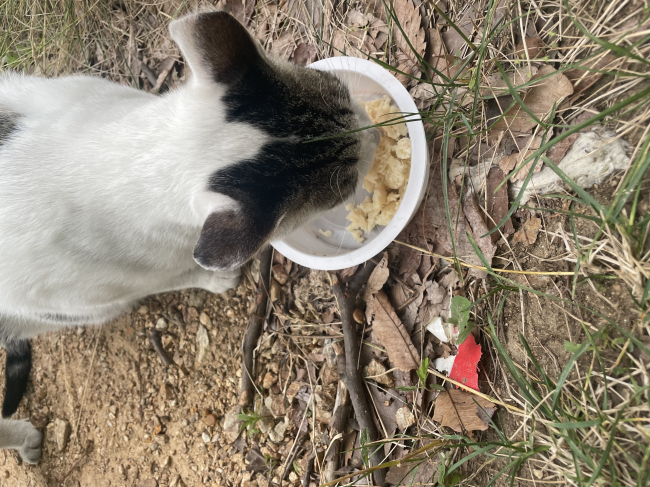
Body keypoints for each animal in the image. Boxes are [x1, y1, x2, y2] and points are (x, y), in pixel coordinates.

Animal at [0, 11, 380, 463]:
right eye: (344, 186)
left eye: (340, 89)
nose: (377, 133)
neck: (140, 161)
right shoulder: (103, 288)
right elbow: (171, 277)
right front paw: (214, 279)